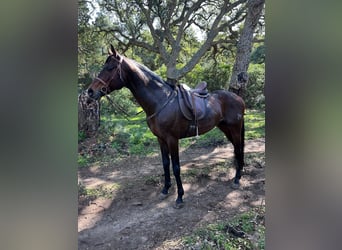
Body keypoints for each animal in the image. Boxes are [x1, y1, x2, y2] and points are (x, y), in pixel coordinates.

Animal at [87, 45, 244, 207]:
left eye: (110, 68)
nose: (90, 91)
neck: (161, 101)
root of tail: (238, 98)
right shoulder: (161, 139)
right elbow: (165, 164)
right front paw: (165, 189)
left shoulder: (172, 139)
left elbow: (176, 167)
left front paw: (179, 197)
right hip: (225, 128)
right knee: (236, 149)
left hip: (235, 128)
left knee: (238, 149)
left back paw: (236, 180)